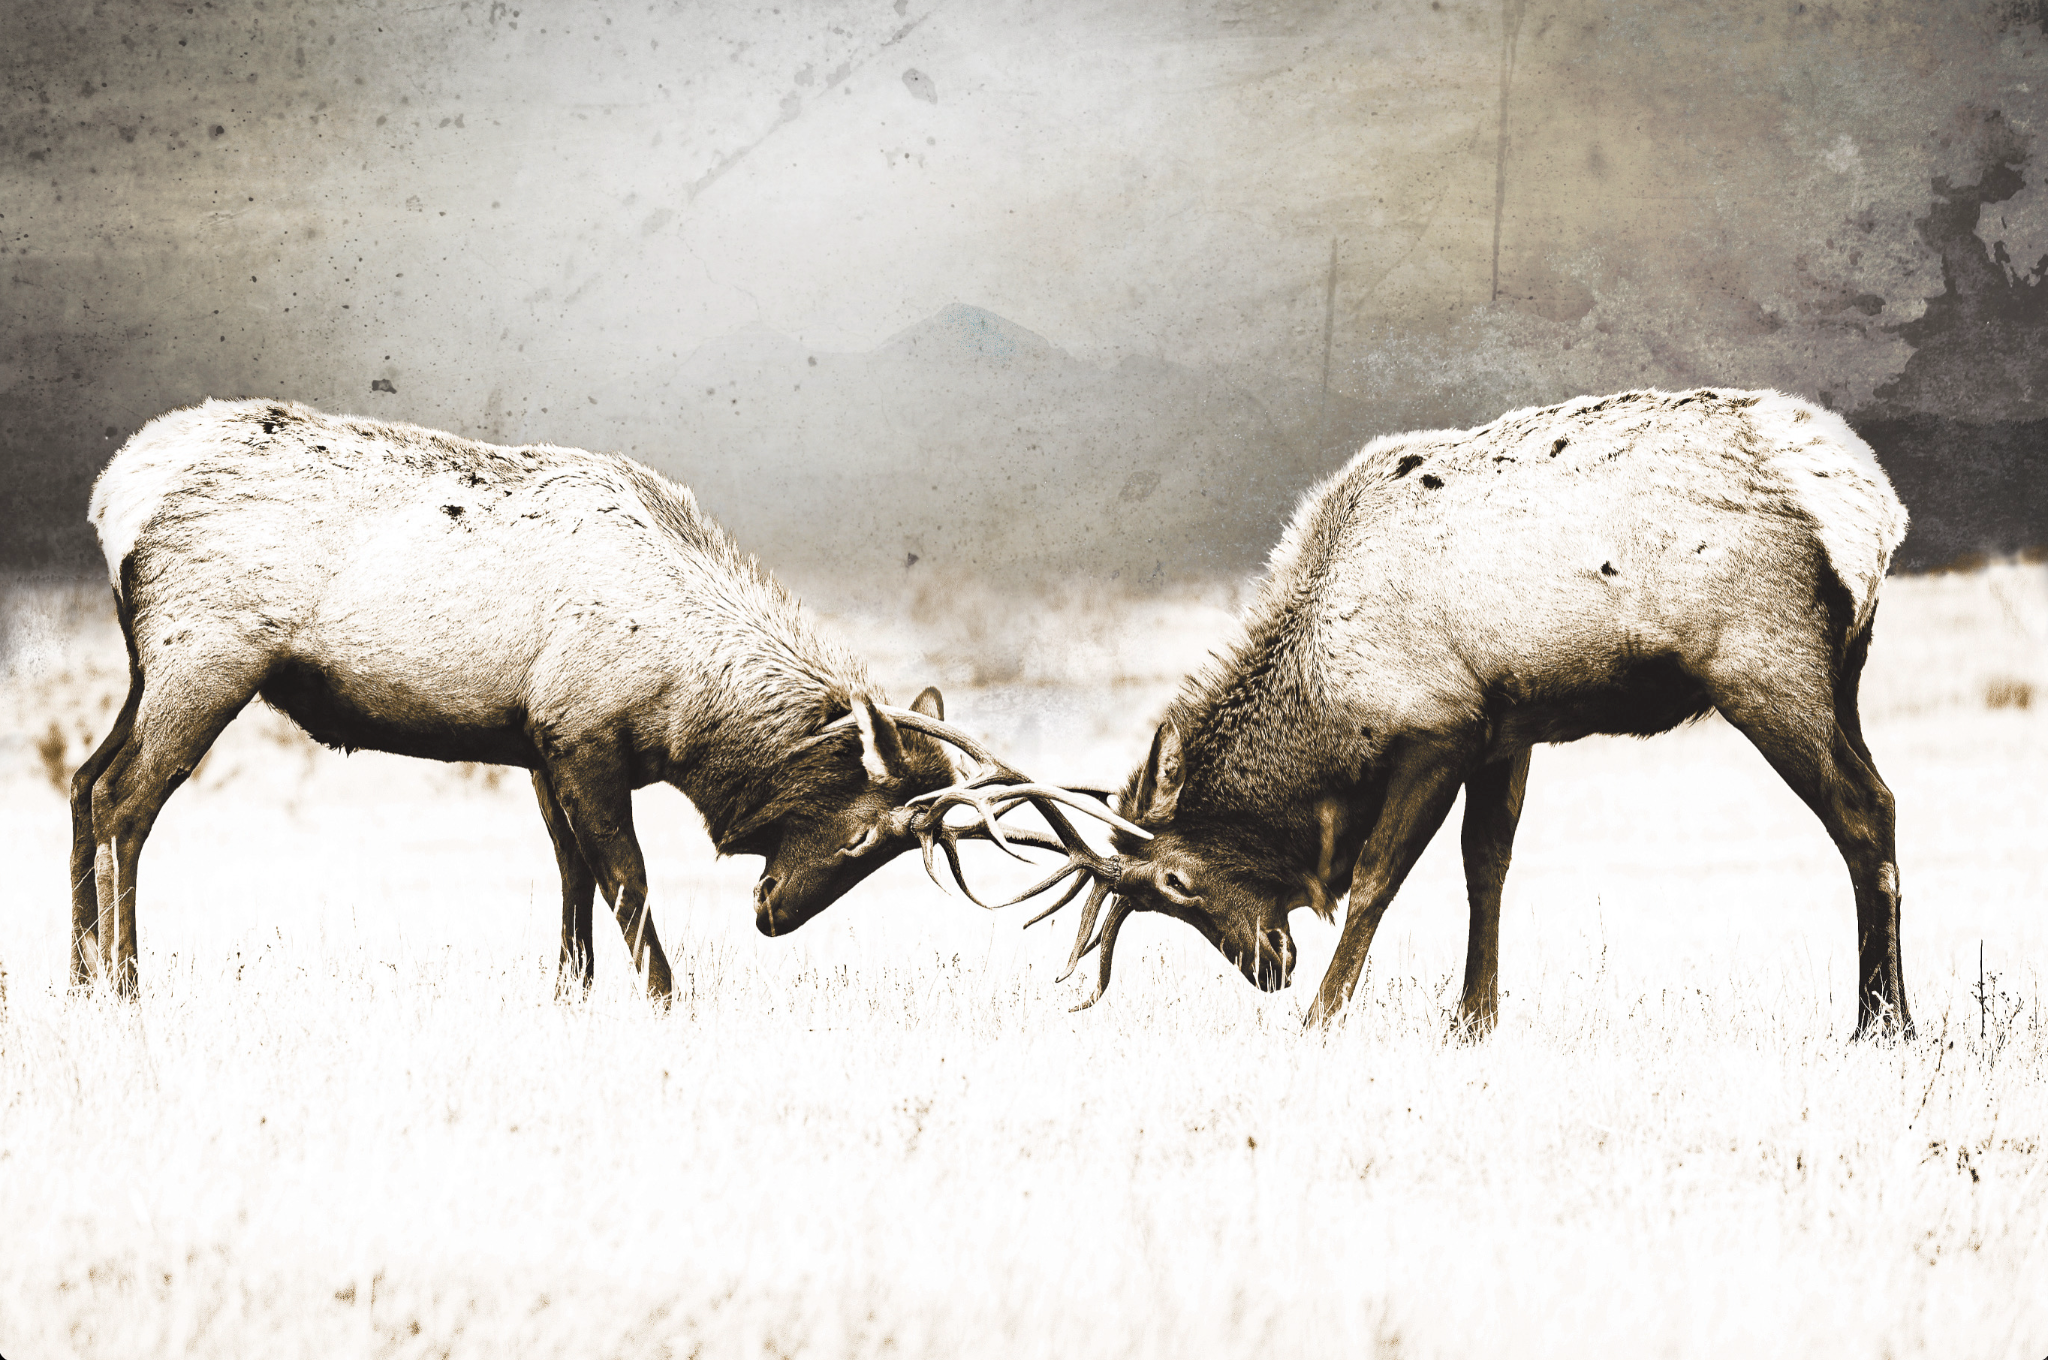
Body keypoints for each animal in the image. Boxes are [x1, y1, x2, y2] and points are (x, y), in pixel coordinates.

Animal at [68, 398, 1135, 999]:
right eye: (870, 835)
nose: (774, 917)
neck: (687, 701)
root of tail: (110, 492)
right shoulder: (583, 737)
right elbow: (626, 876)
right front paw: (667, 997)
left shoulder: (538, 744)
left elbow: (571, 875)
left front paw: (571, 995)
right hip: (205, 659)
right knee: (127, 799)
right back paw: (125, 983)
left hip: (146, 668)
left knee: (82, 782)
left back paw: (76, 975)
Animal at [947, 389, 1914, 1039]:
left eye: (1177, 883)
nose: (1269, 969)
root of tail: (1873, 505)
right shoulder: (1507, 727)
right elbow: (1487, 866)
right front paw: (1473, 1021)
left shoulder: (1438, 728)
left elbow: (1379, 879)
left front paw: (1324, 1018)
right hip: (1846, 670)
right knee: (1883, 801)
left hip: (1764, 665)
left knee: (1864, 811)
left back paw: (1880, 1023)